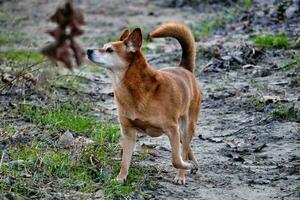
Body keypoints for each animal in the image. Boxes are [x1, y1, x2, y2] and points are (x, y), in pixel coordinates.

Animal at [86, 22, 202, 184]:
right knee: (186, 146)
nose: (88, 50)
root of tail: (184, 69)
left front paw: (182, 169)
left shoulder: (172, 129)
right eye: (103, 46)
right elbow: (125, 160)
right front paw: (120, 178)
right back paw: (194, 164)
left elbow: (176, 159)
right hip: (181, 130)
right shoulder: (128, 133)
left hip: (187, 125)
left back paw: (182, 173)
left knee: (184, 148)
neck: (132, 87)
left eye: (109, 50)